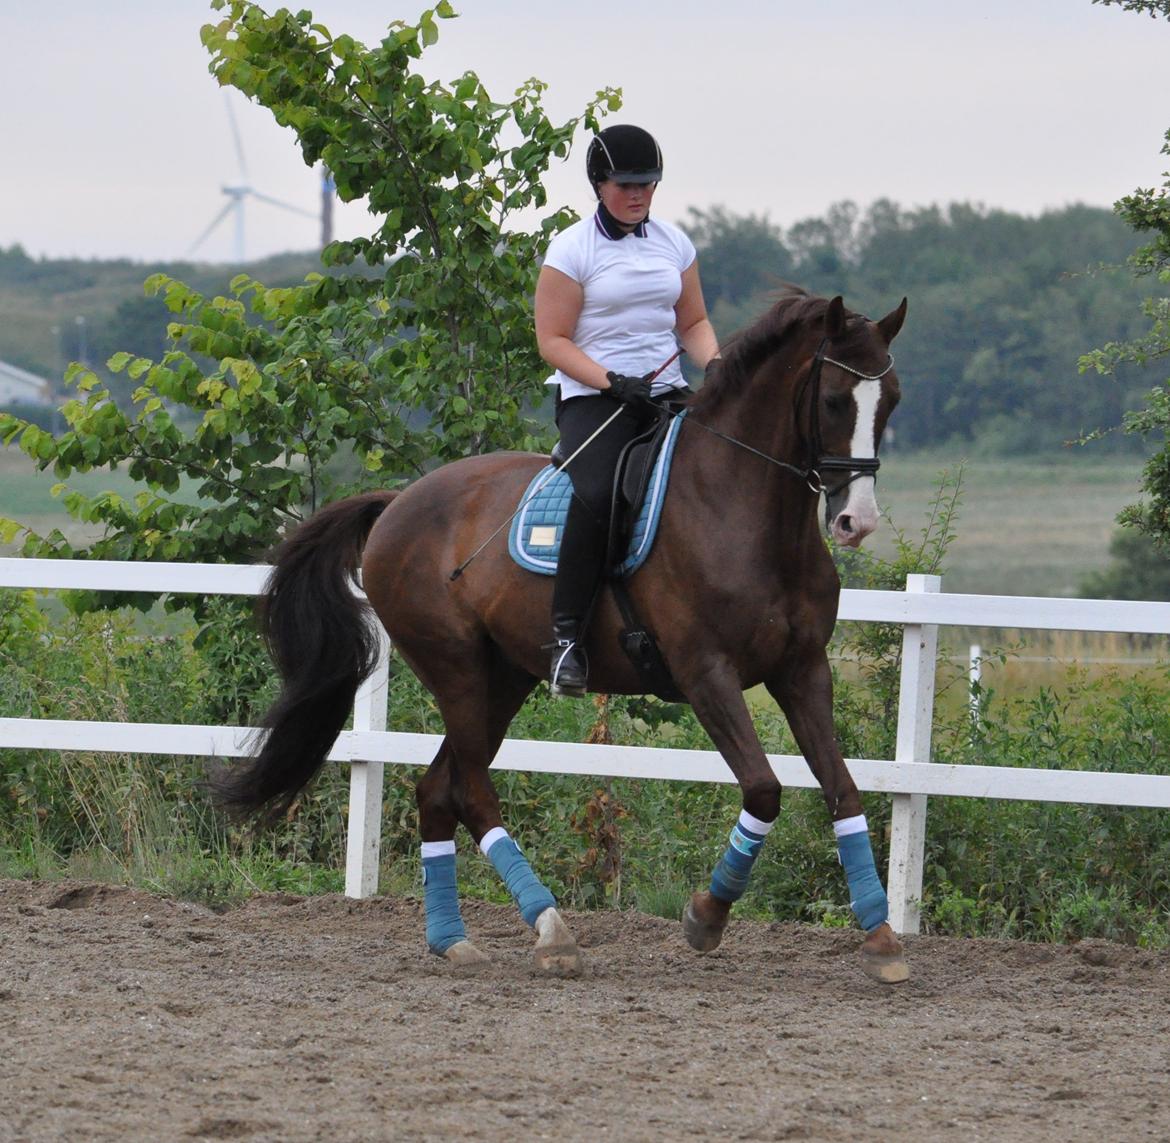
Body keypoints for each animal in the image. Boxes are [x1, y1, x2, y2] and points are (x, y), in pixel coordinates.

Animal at [219, 292, 912, 982]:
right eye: (834, 400)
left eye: (893, 401)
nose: (856, 522)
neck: (744, 513)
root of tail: (397, 503)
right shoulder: (706, 674)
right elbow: (765, 791)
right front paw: (704, 919)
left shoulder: (803, 671)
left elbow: (844, 790)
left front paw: (881, 940)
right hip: (456, 669)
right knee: (471, 790)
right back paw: (552, 931)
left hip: (504, 678)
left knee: (439, 789)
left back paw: (453, 939)